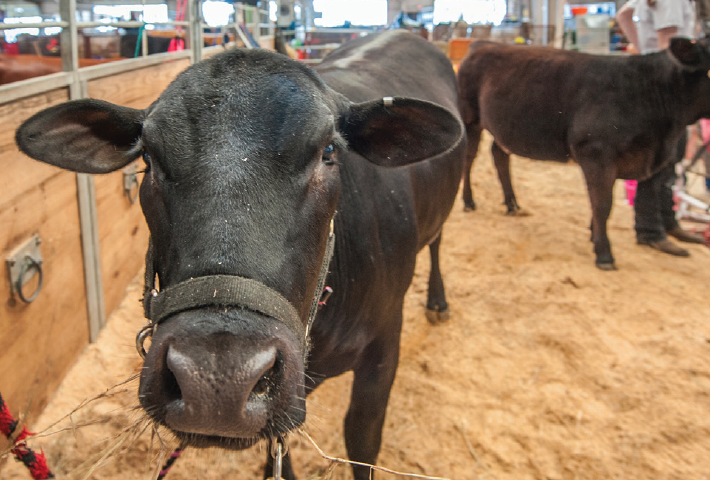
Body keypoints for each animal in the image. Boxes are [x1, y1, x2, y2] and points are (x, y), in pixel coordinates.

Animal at [458, 38, 710, 270]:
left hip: (504, 126)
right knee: (468, 159)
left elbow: (600, 203)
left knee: (499, 155)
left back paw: (512, 205)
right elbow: (603, 204)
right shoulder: (595, 153)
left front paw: (593, 234)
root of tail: (484, 43)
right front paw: (604, 253)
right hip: (469, 118)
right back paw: (469, 201)